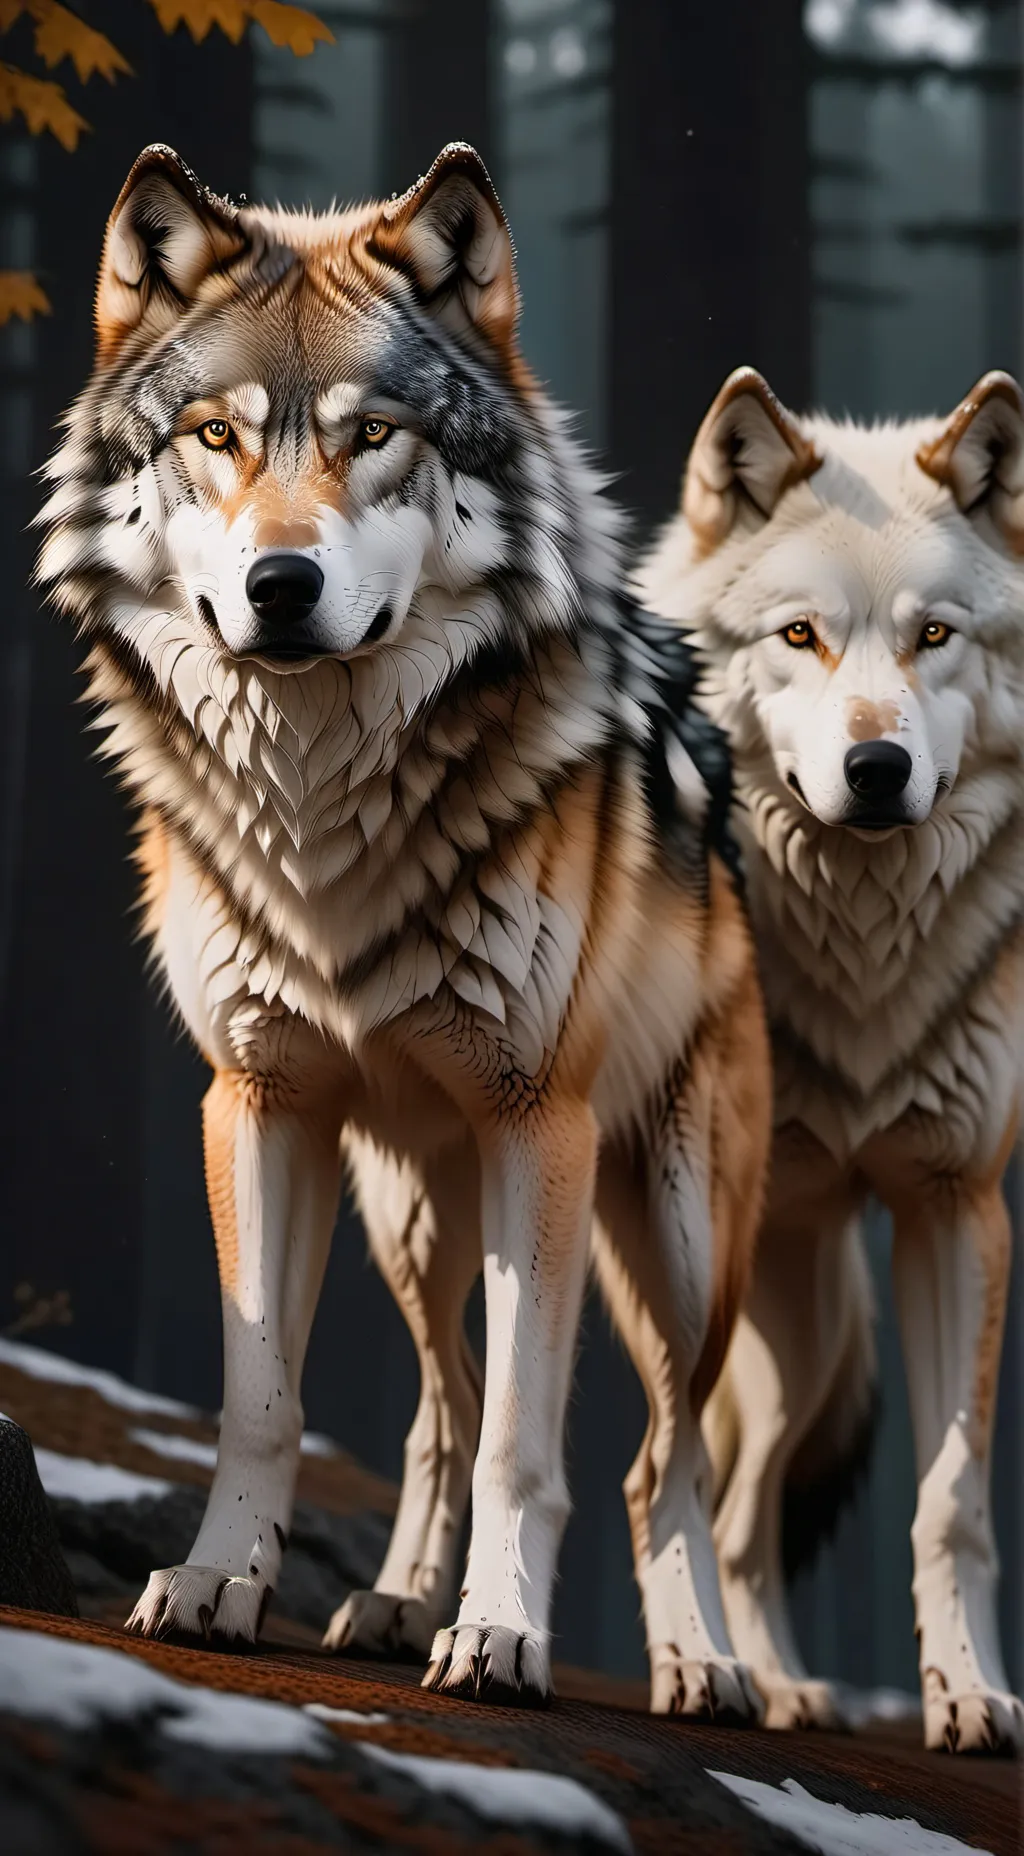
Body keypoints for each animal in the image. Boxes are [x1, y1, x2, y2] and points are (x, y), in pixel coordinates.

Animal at [36, 144, 770, 1715]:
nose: (282, 585)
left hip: (676, 1237)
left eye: (373, 435)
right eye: (215, 437)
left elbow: (528, 1453)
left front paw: (498, 1638)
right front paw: (219, 1585)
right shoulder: (258, 1101)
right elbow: (265, 1400)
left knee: (661, 1458)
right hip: (415, 1214)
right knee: (445, 1401)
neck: (324, 810)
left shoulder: (538, 1122)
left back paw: (697, 1663)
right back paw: (385, 1604)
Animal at [638, 366, 1024, 1753]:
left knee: (750, 1510)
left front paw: (967, 1693)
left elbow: (951, 1497)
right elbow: (664, 1459)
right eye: (799, 635)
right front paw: (685, 1661)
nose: (875, 765)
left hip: (800, 1335)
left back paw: (783, 1685)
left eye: (934, 638)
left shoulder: (956, 1208)